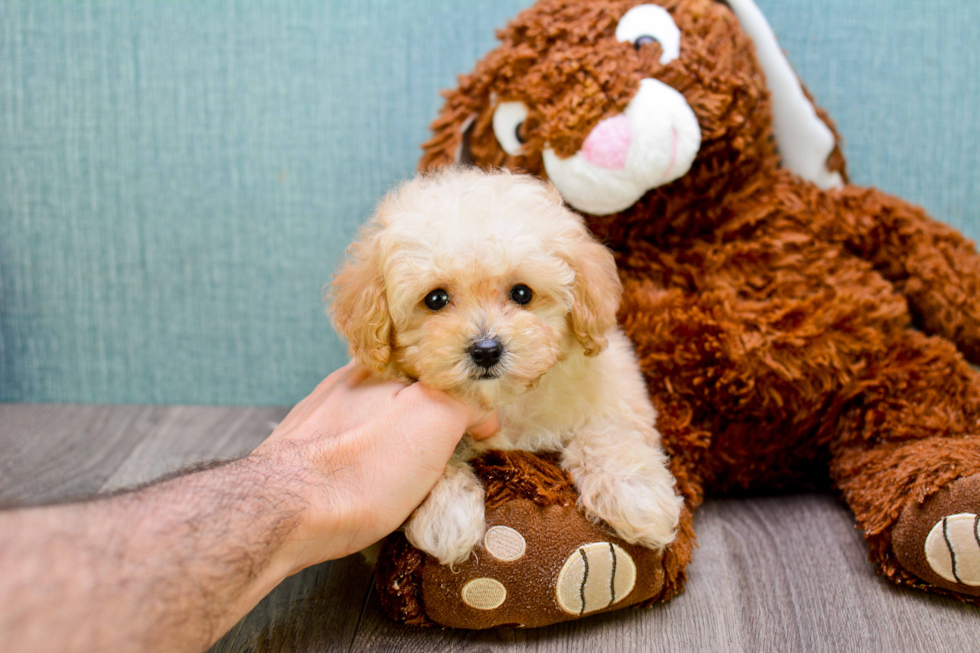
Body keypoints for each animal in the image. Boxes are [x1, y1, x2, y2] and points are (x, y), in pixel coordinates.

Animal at [330, 168, 680, 564]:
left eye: (522, 293)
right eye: (435, 299)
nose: (486, 350)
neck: (504, 401)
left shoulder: (617, 390)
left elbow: (608, 431)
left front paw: (635, 494)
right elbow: (434, 459)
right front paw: (446, 514)